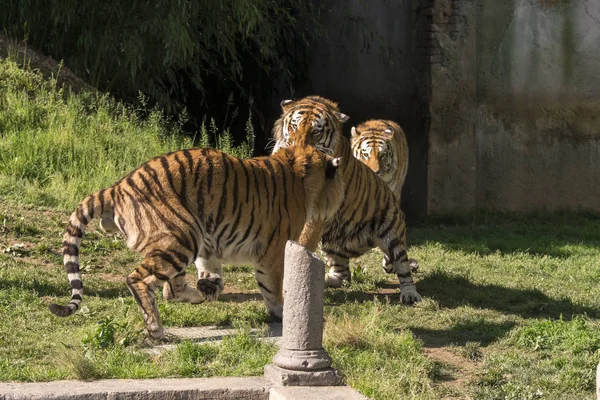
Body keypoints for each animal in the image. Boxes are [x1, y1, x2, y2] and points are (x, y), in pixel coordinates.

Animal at [49, 122, 344, 338]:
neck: (299, 171)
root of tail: (118, 186)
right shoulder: (273, 250)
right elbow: (272, 286)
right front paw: (282, 314)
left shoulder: (210, 245)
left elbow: (212, 271)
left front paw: (210, 285)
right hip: (182, 234)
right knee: (139, 280)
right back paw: (156, 328)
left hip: (184, 236)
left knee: (171, 288)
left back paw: (197, 293)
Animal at [270, 95, 420, 304]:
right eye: (294, 126)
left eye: (316, 132)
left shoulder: (316, 214)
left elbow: (300, 243)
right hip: (330, 244)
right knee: (343, 275)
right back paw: (324, 280)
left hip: (391, 233)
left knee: (402, 267)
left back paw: (409, 294)